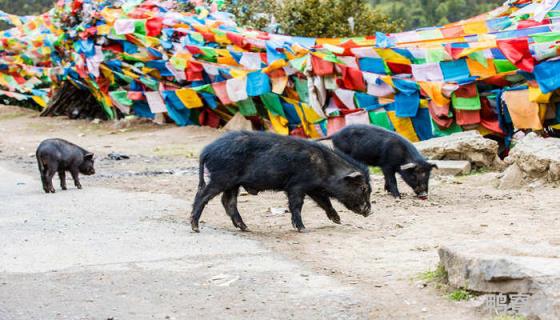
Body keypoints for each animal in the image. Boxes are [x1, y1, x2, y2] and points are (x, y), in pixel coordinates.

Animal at [191, 130, 372, 232]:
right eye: (363, 188)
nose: (370, 211)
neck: (326, 168)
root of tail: (206, 151)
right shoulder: (296, 186)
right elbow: (297, 205)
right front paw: (302, 229)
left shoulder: (313, 188)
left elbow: (325, 202)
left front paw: (338, 220)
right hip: (222, 177)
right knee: (202, 196)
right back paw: (195, 227)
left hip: (232, 183)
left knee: (228, 201)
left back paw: (246, 228)